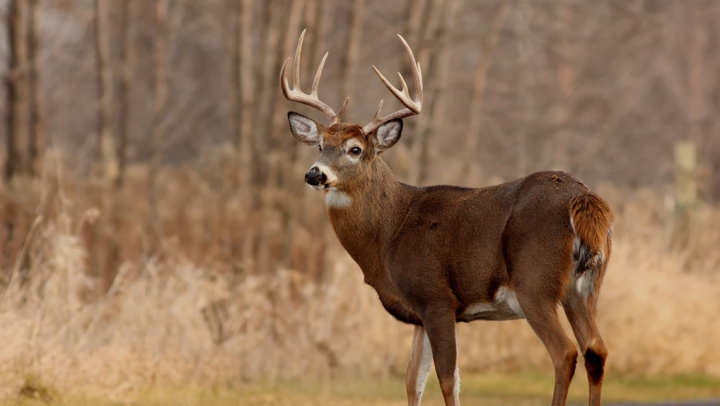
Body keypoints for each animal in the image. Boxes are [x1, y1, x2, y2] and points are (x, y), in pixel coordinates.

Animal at [282, 30, 612, 406]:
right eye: (320, 145)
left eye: (355, 149)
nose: (315, 174)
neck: (390, 231)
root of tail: (584, 200)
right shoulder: (419, 314)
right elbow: (413, 380)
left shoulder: (436, 298)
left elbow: (447, 378)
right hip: (585, 289)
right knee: (596, 351)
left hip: (535, 283)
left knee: (565, 353)